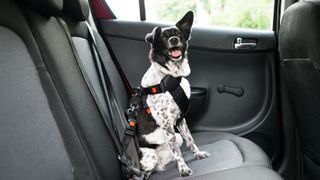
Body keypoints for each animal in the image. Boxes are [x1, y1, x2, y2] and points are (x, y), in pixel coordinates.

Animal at [137, 11, 210, 179]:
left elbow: (190, 140)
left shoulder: (180, 119)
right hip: (150, 156)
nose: (174, 39)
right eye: (163, 37)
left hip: (176, 138)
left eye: (179, 34)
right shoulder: (166, 124)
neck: (170, 77)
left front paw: (197, 154)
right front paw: (183, 169)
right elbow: (177, 152)